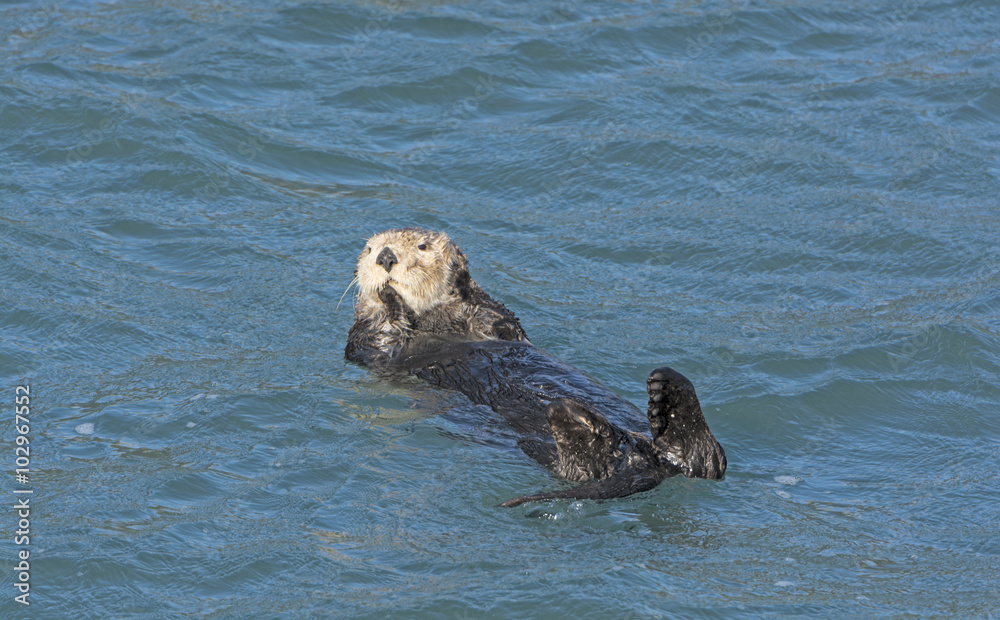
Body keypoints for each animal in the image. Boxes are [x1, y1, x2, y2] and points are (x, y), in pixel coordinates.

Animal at [345, 227, 726, 507]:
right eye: (370, 249)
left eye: (422, 247)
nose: (385, 257)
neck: (434, 323)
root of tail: (649, 464)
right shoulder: (367, 346)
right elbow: (377, 337)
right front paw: (385, 297)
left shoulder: (496, 320)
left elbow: (498, 319)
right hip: (544, 451)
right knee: (587, 467)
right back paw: (578, 419)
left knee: (711, 462)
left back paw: (668, 396)